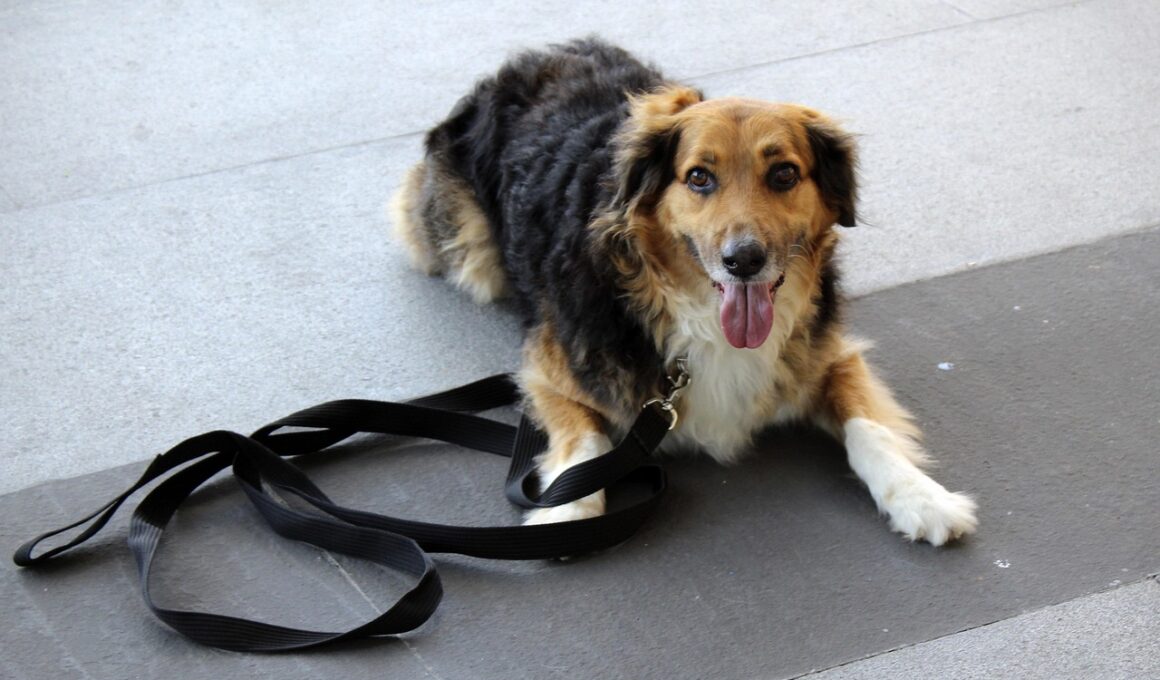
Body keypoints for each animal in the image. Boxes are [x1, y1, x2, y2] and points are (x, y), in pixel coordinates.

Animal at [391, 39, 978, 545]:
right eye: (698, 178)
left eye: (784, 174)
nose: (743, 261)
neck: (696, 316)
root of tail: (536, 56)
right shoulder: (547, 371)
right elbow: (584, 439)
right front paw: (570, 507)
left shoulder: (830, 354)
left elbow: (869, 428)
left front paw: (922, 497)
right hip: (467, 250)